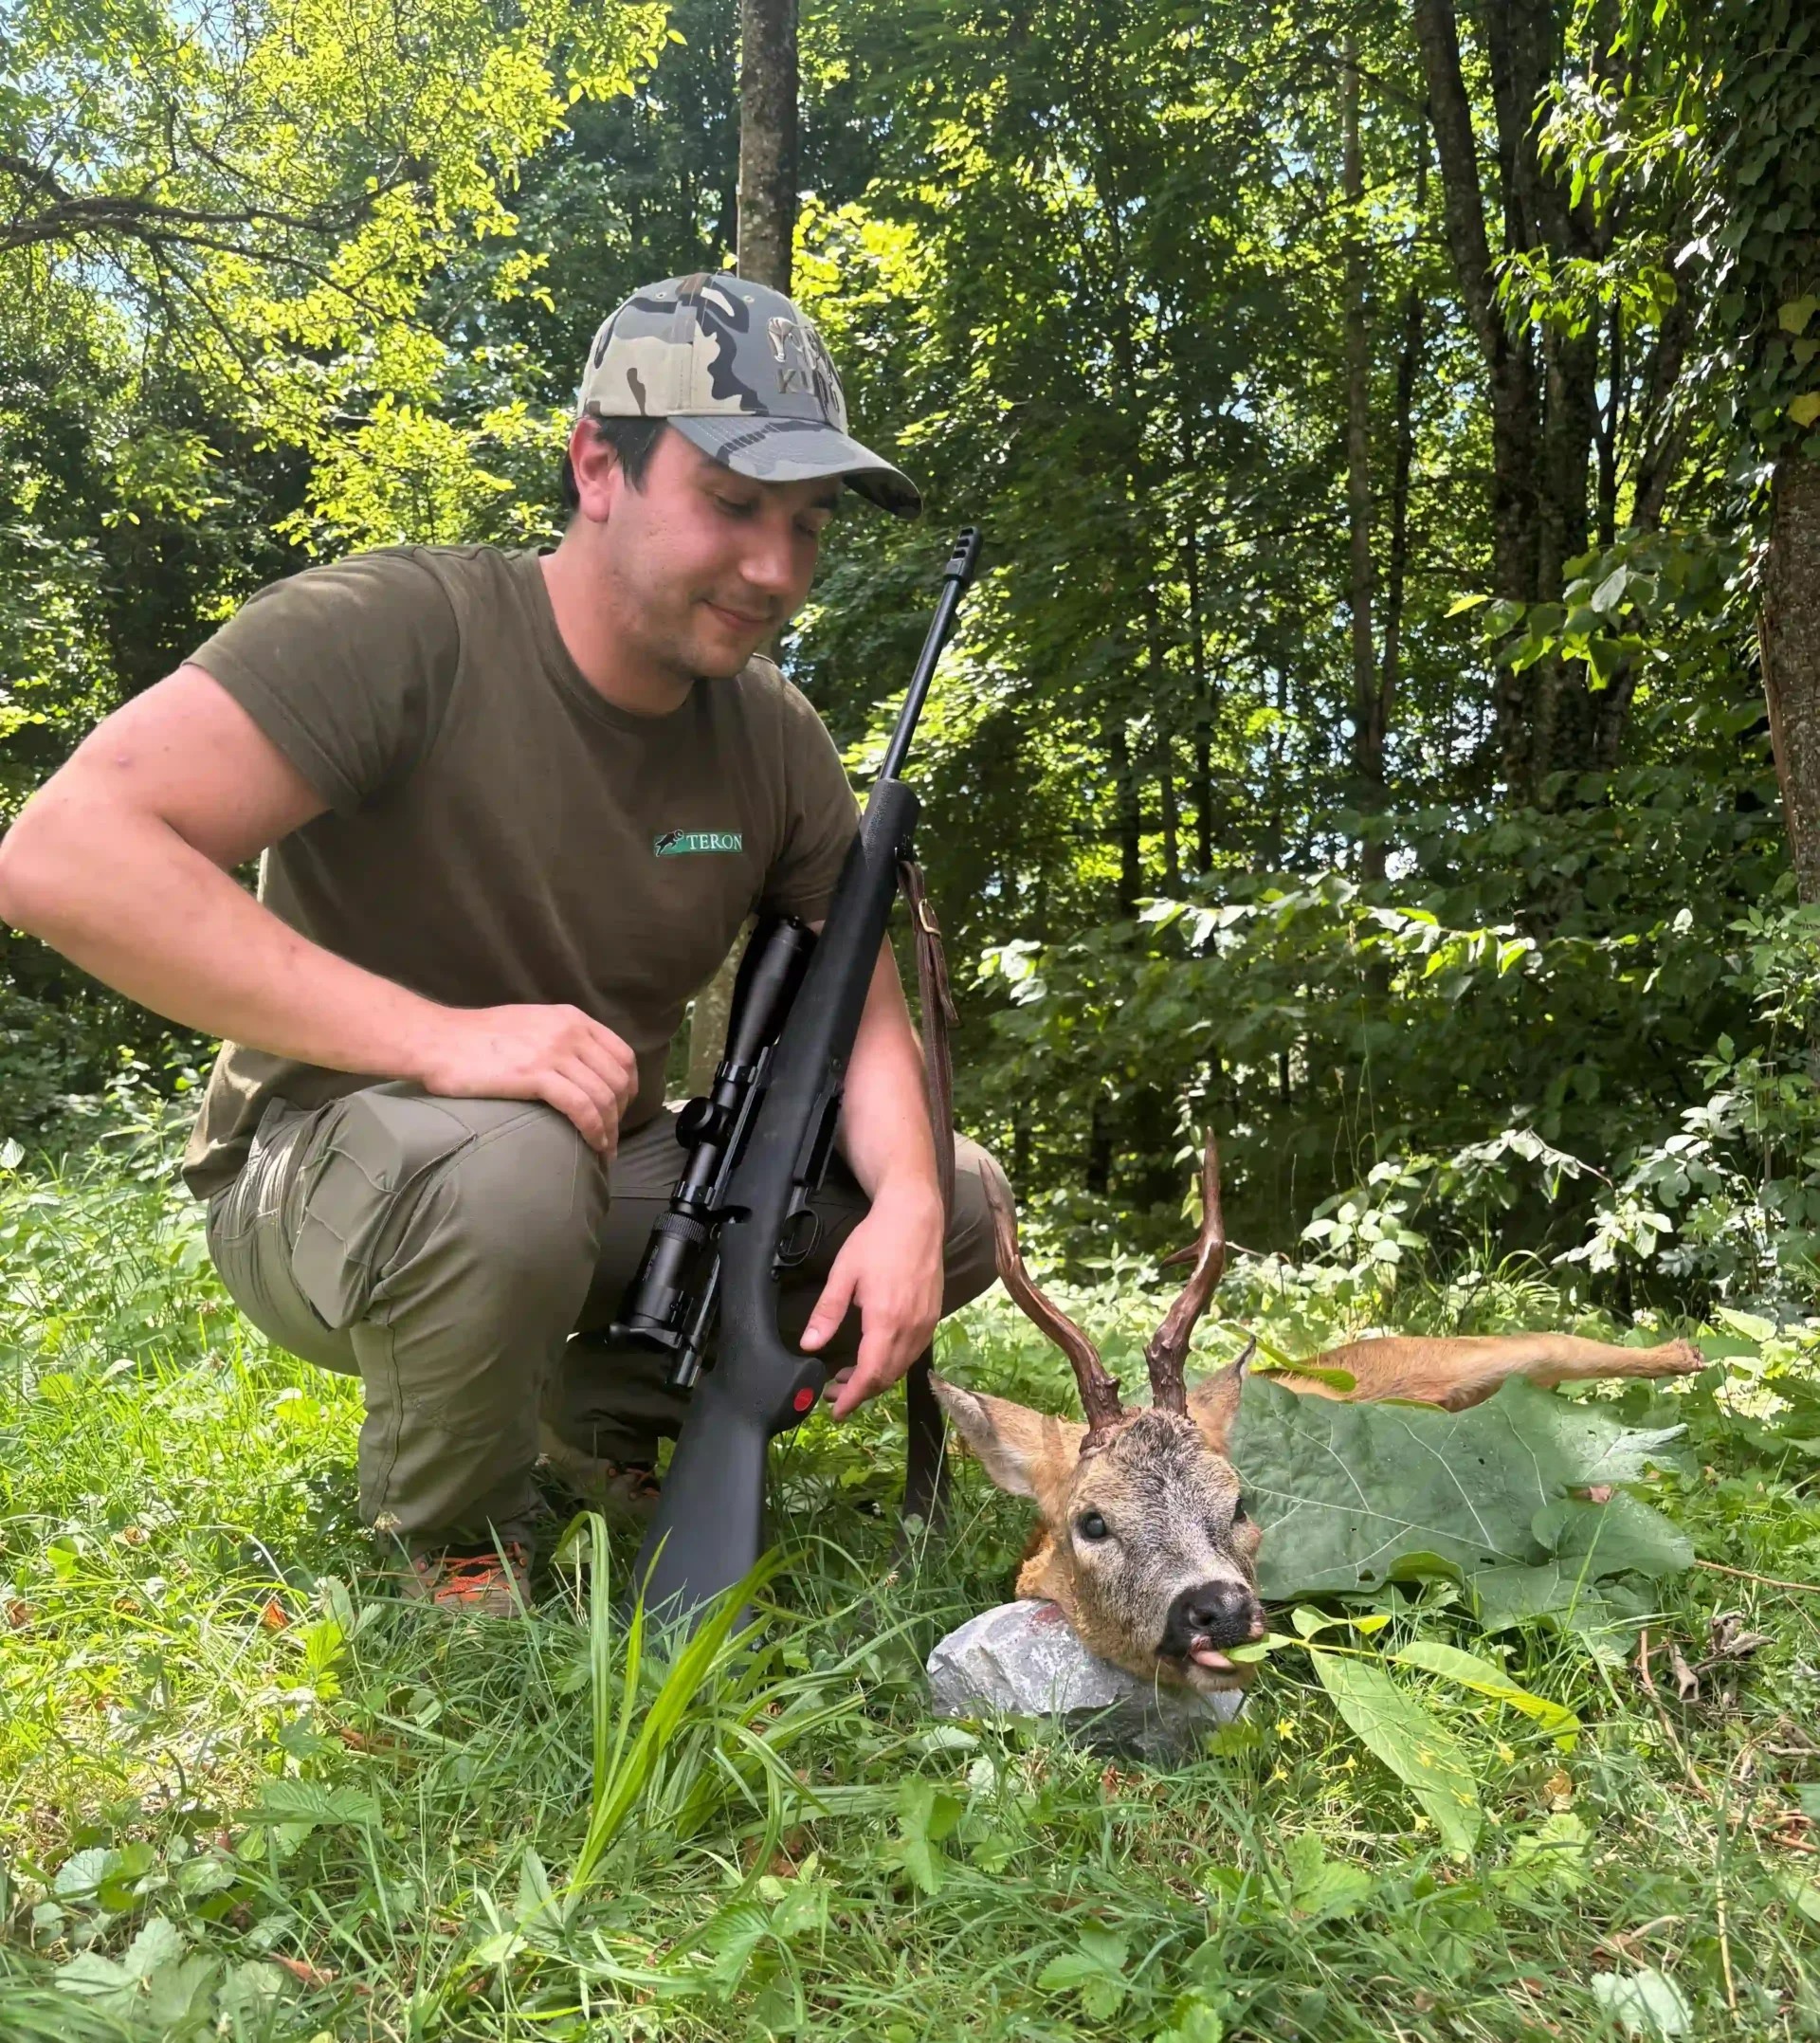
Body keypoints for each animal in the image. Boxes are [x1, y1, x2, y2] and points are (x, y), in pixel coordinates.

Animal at [932, 1138, 1703, 1698]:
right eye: (1092, 1522)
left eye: (1239, 1500)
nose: (1220, 1607)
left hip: (1491, 1353)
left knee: (1567, 1344)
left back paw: (1686, 1352)